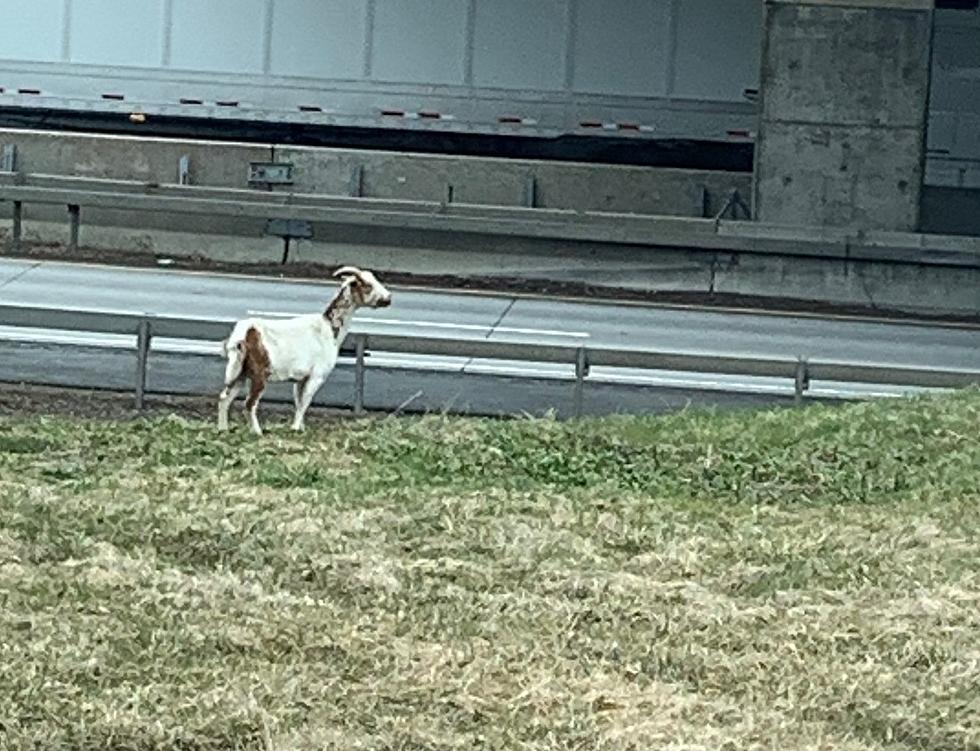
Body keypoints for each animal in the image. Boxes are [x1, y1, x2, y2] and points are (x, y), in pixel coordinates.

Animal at [216, 268, 392, 434]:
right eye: (368, 285)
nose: (388, 298)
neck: (328, 329)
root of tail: (243, 335)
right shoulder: (317, 375)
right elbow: (305, 402)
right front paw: (295, 428)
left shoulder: (301, 378)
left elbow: (299, 401)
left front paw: (300, 428)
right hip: (259, 373)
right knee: (249, 403)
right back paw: (257, 432)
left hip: (239, 371)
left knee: (224, 397)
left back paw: (223, 429)